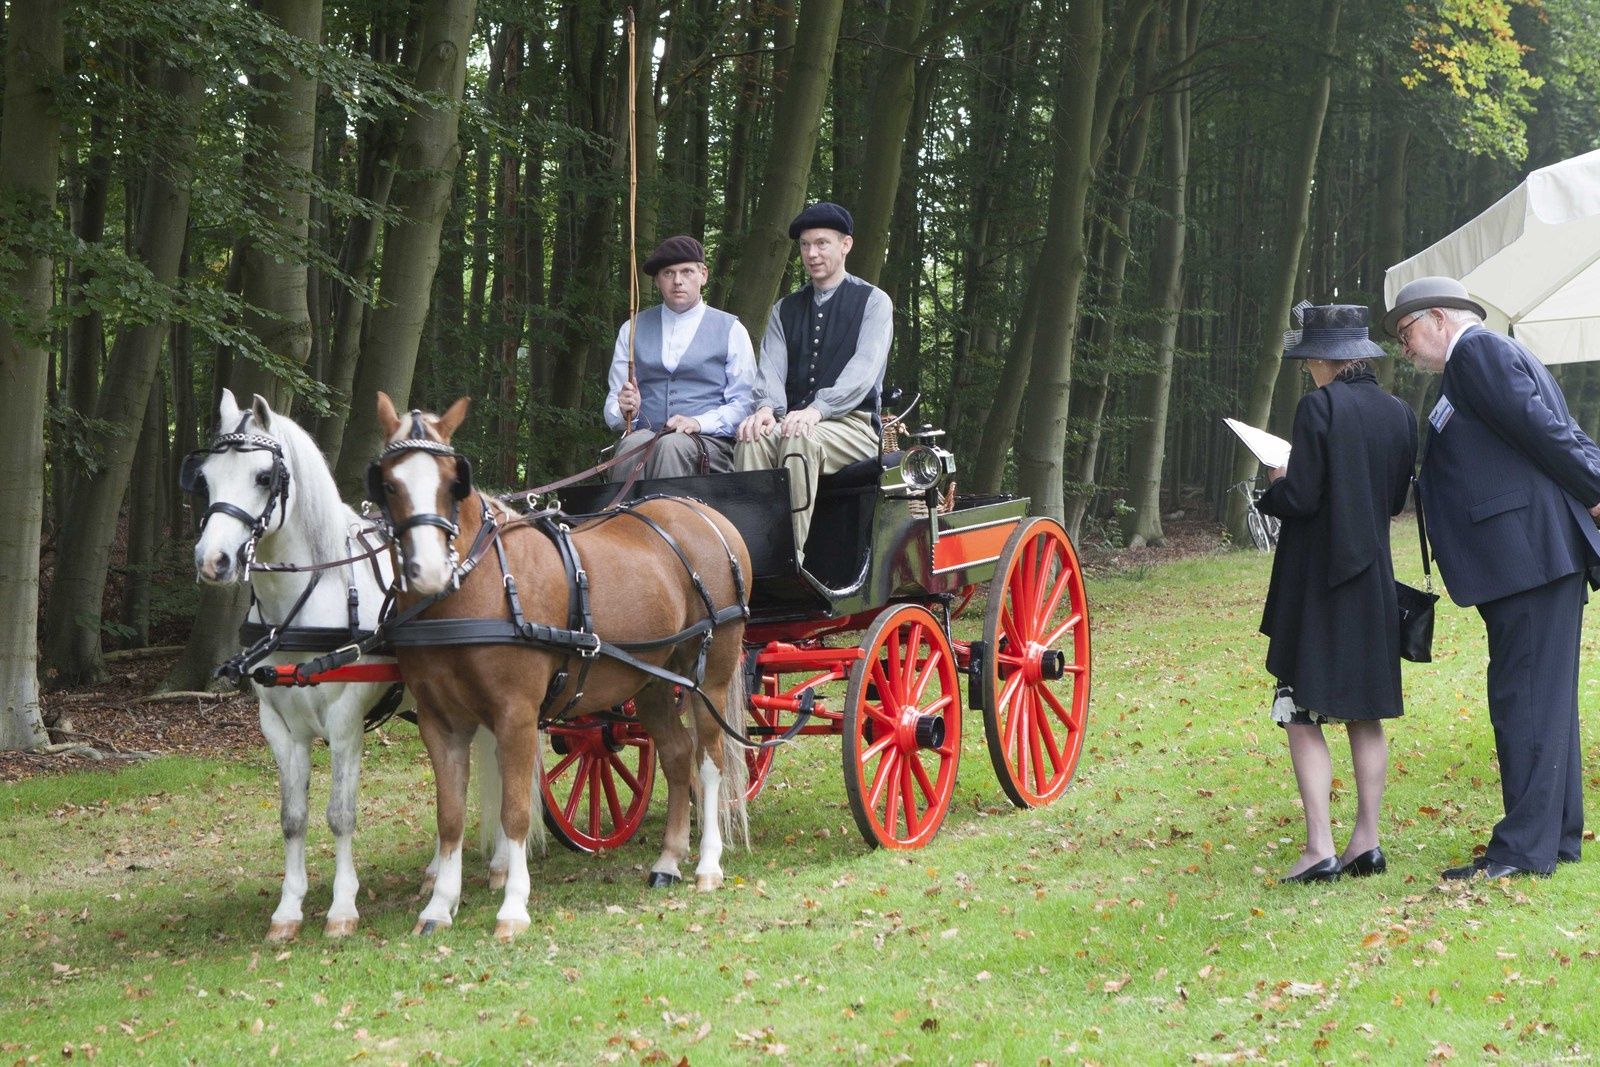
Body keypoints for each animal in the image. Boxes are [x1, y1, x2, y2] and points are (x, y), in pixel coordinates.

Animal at [187, 390, 513, 940]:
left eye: (263, 477)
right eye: (206, 477)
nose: (213, 561)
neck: (303, 605)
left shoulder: (343, 722)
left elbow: (340, 814)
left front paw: (342, 907)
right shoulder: (278, 726)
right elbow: (293, 817)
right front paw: (288, 909)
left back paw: (503, 865)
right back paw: (438, 874)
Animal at [368, 392, 752, 941]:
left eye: (452, 481)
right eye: (389, 483)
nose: (428, 571)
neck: (479, 588)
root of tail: (702, 512)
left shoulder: (515, 715)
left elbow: (514, 812)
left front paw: (512, 907)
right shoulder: (439, 724)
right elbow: (450, 818)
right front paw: (439, 906)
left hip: (712, 675)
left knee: (710, 760)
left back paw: (707, 864)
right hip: (654, 680)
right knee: (677, 755)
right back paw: (669, 861)